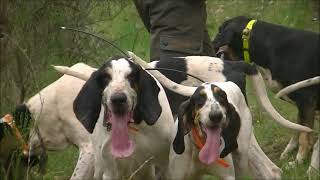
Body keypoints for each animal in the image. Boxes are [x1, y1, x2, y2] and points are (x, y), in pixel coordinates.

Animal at [212, 15, 320, 169]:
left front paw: (298, 160)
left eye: (220, 30)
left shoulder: (307, 100)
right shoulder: (303, 105)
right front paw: (290, 152)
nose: (213, 43)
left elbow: (304, 136)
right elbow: (298, 128)